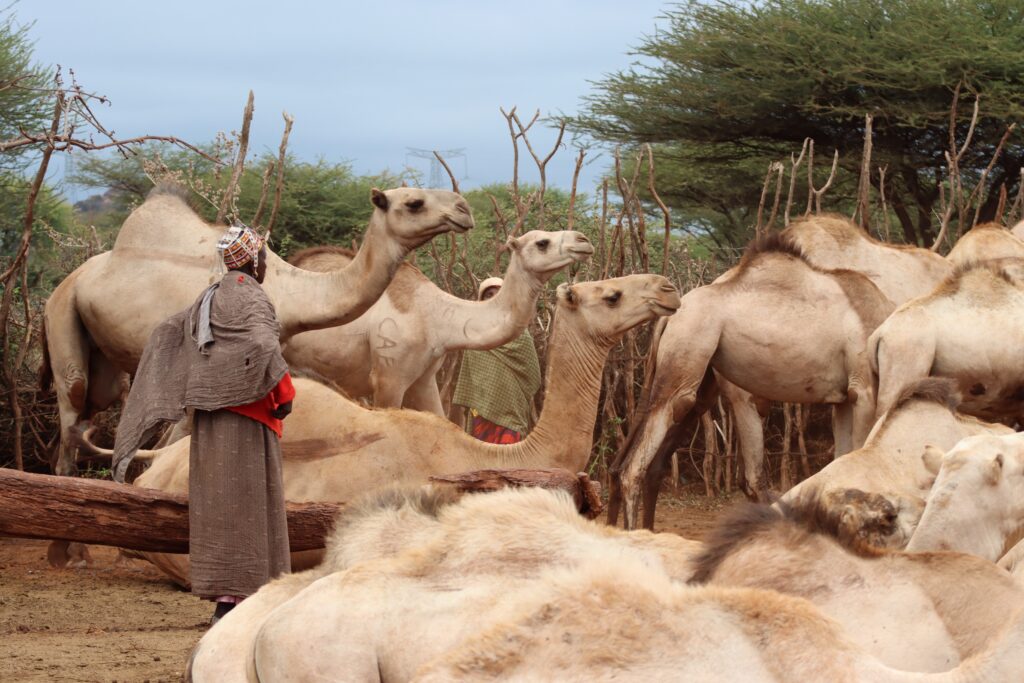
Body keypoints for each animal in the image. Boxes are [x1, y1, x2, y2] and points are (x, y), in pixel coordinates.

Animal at [42, 182, 473, 475]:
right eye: (414, 202)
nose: (464, 209)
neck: (289, 292)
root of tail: (68, 281)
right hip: (61, 317)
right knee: (71, 412)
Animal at [613, 235, 894, 529]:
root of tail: (670, 316)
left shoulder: (843, 400)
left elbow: (842, 462)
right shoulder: (864, 389)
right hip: (688, 354)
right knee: (635, 466)